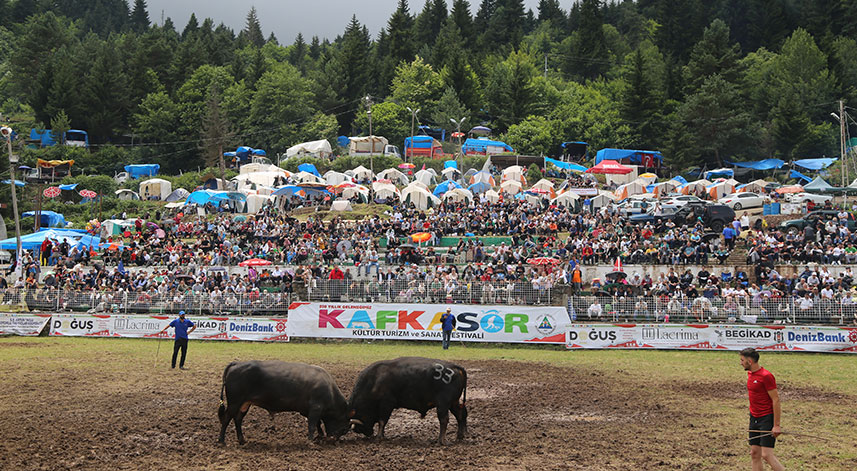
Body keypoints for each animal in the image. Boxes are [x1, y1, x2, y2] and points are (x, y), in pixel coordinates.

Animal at [219, 362, 350, 446]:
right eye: (344, 429)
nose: (333, 441)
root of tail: (237, 363)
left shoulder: (308, 410)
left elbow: (317, 423)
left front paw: (320, 436)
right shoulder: (315, 408)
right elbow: (312, 425)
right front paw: (311, 442)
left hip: (244, 404)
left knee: (238, 419)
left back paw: (242, 440)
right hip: (234, 403)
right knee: (226, 419)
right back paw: (221, 441)